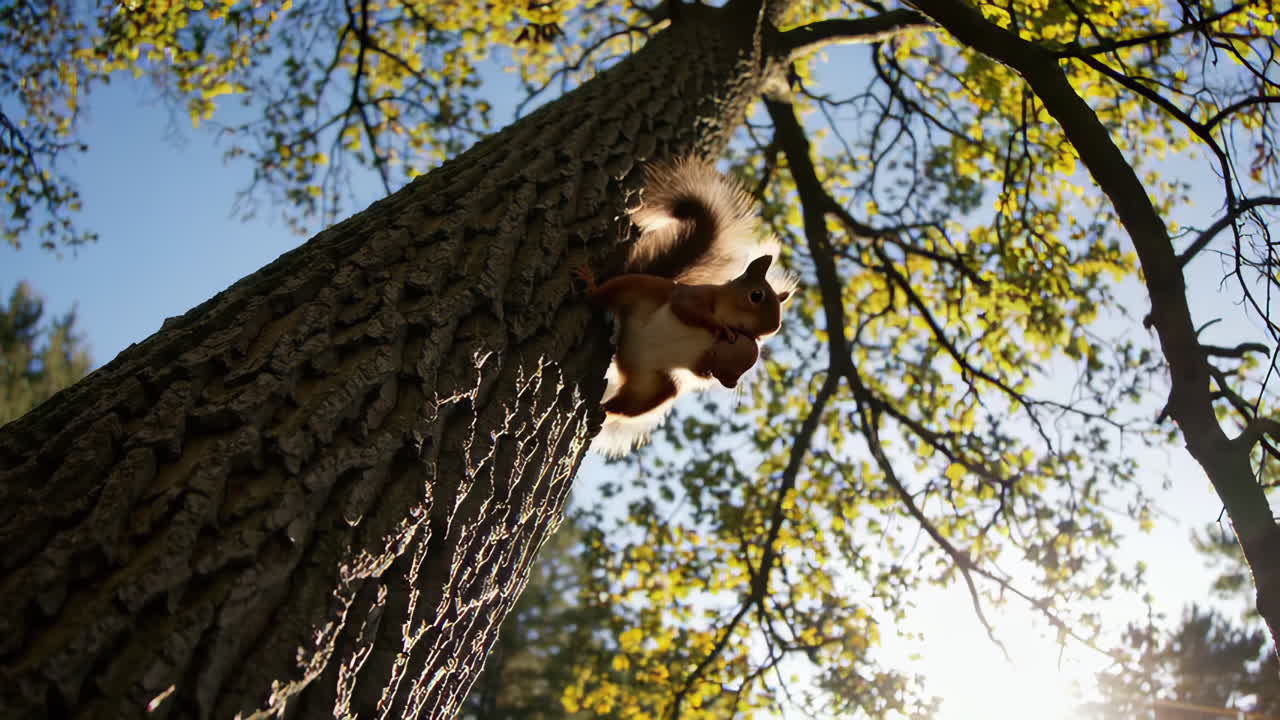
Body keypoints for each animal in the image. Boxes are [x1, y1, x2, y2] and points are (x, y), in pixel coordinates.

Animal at [576, 157, 795, 456]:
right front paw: (719, 327)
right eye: (756, 296)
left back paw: (602, 412)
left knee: (633, 403)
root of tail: (625, 360)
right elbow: (688, 311)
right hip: (634, 290)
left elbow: (701, 370)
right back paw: (590, 286)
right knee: (604, 294)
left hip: (655, 386)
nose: (773, 328)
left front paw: (715, 369)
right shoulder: (694, 296)